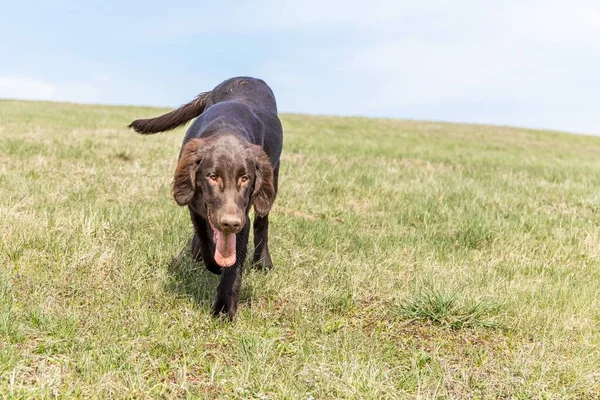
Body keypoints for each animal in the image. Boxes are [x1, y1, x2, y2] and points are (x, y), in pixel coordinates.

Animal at [127, 76, 282, 320]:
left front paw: (224, 309)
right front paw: (211, 261)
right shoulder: (195, 208)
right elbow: (206, 240)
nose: (230, 223)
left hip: (272, 179)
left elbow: (233, 265)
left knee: (262, 220)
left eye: (245, 178)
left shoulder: (243, 217)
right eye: (213, 176)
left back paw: (262, 262)